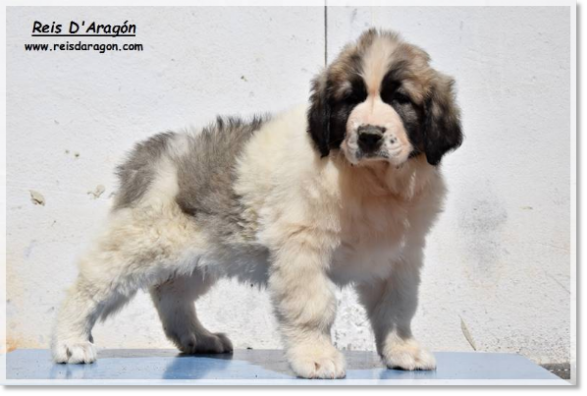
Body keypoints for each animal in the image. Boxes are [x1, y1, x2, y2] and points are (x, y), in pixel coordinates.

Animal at [51, 29, 464, 378]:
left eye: (401, 99)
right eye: (350, 99)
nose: (369, 135)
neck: (370, 180)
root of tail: (150, 152)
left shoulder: (399, 258)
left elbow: (395, 309)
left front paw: (401, 350)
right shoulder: (301, 251)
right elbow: (313, 307)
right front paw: (316, 356)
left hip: (199, 256)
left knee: (170, 292)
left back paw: (198, 337)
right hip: (138, 243)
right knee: (90, 285)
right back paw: (70, 341)